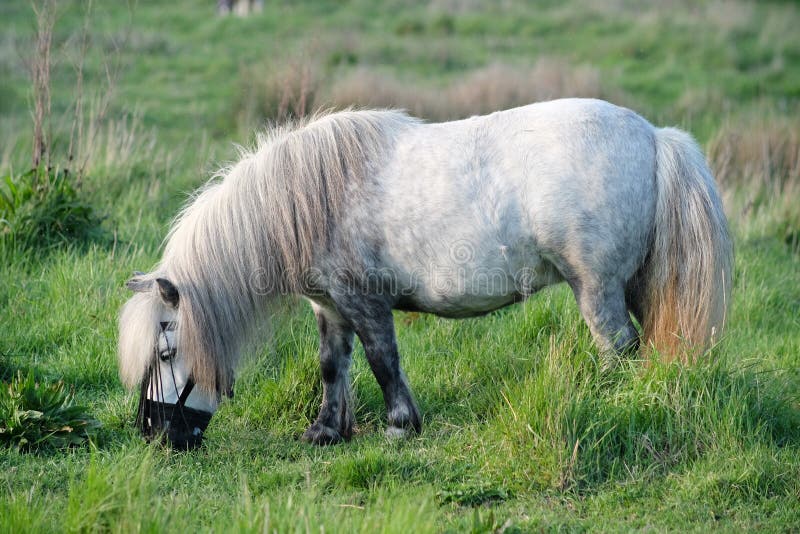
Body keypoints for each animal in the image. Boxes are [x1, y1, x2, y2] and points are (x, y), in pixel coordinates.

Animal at [118, 98, 732, 449]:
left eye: (167, 352)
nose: (154, 434)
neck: (311, 197)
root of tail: (654, 136)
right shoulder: (331, 307)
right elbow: (331, 367)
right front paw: (327, 431)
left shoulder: (365, 302)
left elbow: (382, 360)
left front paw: (399, 425)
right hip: (633, 287)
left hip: (597, 288)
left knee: (618, 349)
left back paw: (613, 407)